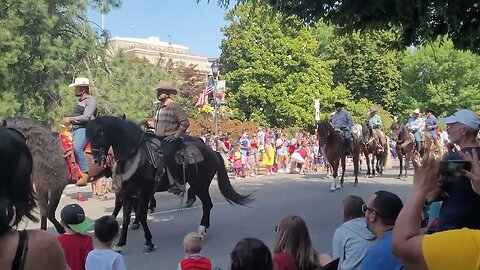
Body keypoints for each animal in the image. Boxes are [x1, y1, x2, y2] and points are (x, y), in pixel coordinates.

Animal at [86, 116, 253, 253]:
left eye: (100, 132)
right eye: (88, 135)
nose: (96, 160)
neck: (132, 157)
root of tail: (212, 152)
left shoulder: (144, 191)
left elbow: (141, 215)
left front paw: (149, 242)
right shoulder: (127, 193)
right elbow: (126, 217)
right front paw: (120, 243)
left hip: (200, 184)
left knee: (207, 204)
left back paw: (201, 230)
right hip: (196, 184)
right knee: (206, 204)